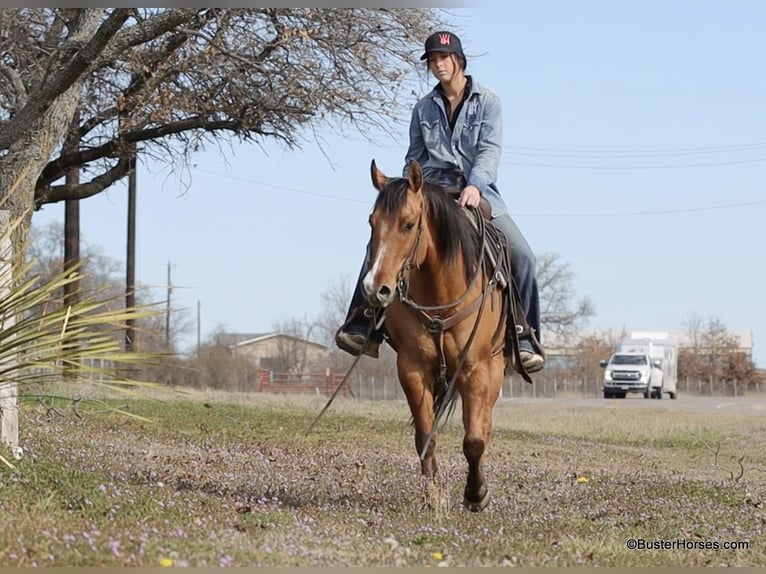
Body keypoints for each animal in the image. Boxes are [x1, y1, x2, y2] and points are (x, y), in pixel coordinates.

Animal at [361, 159, 531, 512]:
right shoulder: (412, 368)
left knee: (485, 427)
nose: (374, 288)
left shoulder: (475, 370)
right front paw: (433, 496)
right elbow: (425, 436)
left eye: (409, 224)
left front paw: (476, 494)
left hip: (495, 370)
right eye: (372, 222)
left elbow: (475, 440)